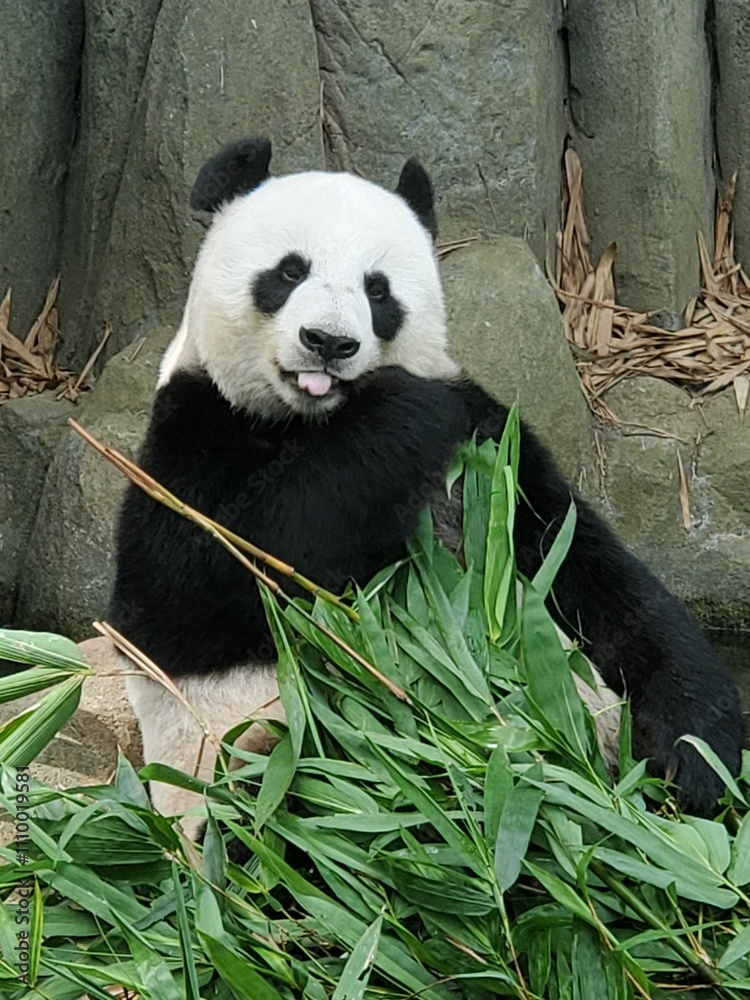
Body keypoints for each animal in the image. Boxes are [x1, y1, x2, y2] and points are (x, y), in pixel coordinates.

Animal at [111, 137, 743, 837]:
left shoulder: (492, 453)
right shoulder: (192, 434)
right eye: (288, 272)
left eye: (378, 289)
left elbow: (590, 571)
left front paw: (699, 751)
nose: (328, 342)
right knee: (301, 806)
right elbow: (200, 579)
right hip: (258, 764)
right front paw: (401, 411)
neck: (314, 418)